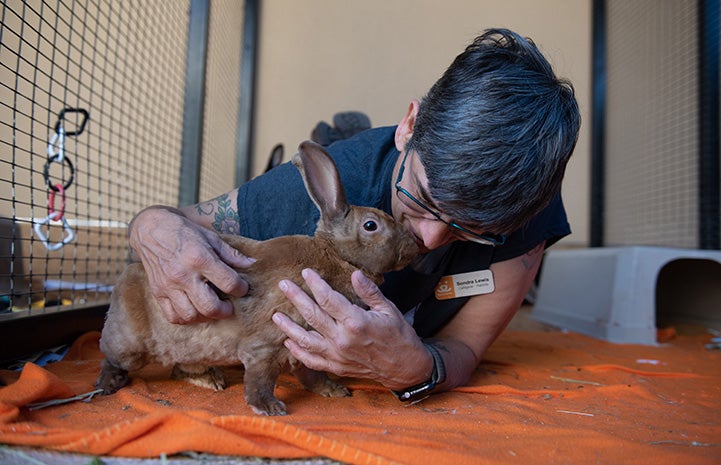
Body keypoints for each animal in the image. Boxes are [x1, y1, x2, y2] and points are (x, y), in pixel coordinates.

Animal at [97, 140, 422, 416]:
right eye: (371, 225)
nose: (413, 245)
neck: (336, 256)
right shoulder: (266, 344)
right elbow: (260, 379)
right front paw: (269, 408)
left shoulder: (304, 347)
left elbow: (312, 375)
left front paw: (335, 390)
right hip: (129, 345)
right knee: (112, 358)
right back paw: (107, 385)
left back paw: (210, 379)